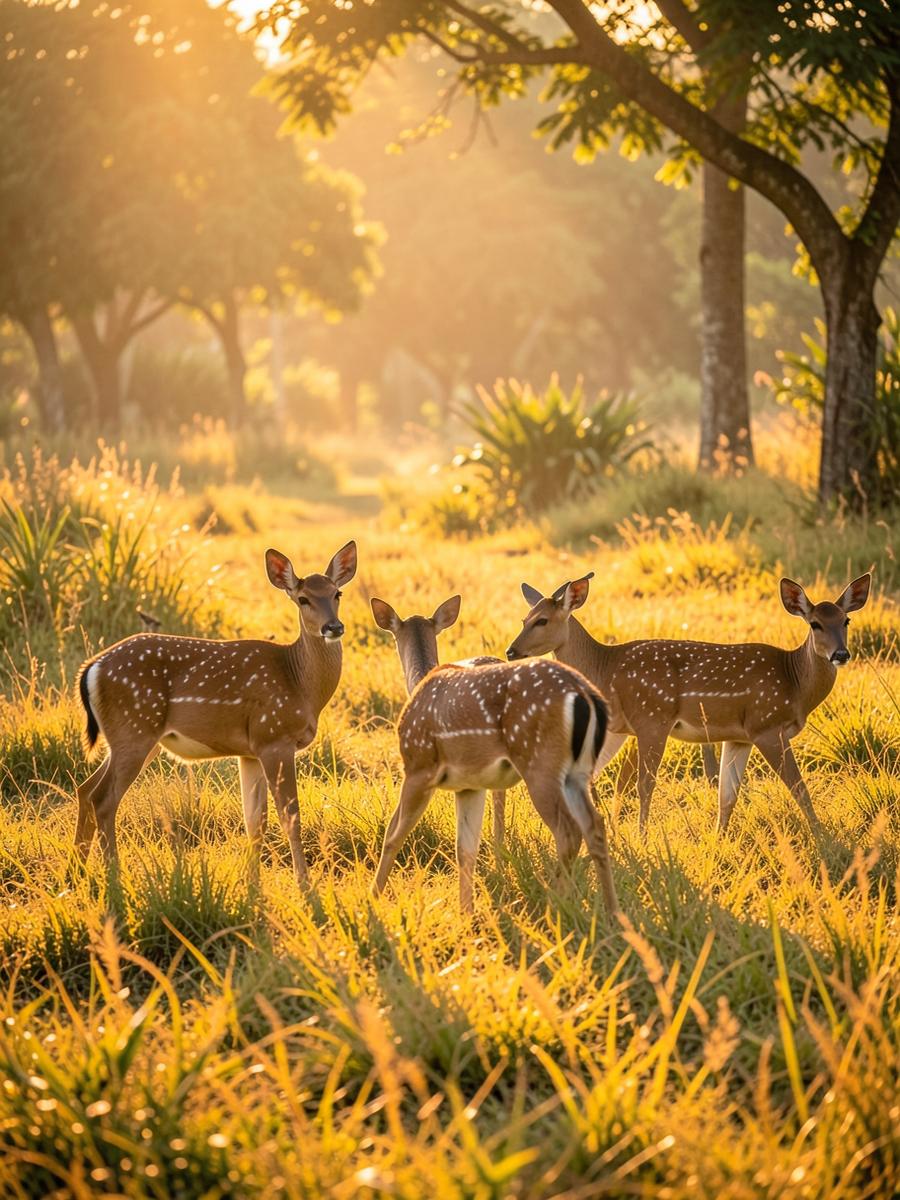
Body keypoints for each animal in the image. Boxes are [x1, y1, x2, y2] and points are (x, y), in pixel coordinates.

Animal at [74, 541, 358, 884]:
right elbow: (290, 816)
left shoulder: (250, 751)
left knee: (85, 790)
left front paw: (253, 885)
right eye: (303, 599)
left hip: (130, 739)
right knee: (103, 799)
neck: (299, 682)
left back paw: (75, 873)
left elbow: (254, 822)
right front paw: (304, 885)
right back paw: (114, 877)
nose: (334, 627)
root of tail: (91, 669)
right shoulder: (275, 736)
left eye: (336, 593)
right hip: (135, 729)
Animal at [369, 593, 618, 917]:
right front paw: (467, 913)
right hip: (577, 772)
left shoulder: (418, 765)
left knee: (568, 831)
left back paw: (554, 906)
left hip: (541, 764)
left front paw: (371, 900)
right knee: (595, 826)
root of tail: (587, 697)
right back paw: (613, 915)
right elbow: (465, 849)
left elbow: (393, 835)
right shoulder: (468, 785)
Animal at [505, 571, 871, 837]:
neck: (794, 683)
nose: (841, 654)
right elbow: (799, 787)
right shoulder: (767, 724)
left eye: (846, 621)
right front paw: (823, 837)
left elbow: (728, 795)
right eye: (815, 623)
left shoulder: (740, 736)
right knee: (630, 782)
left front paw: (719, 840)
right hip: (652, 717)